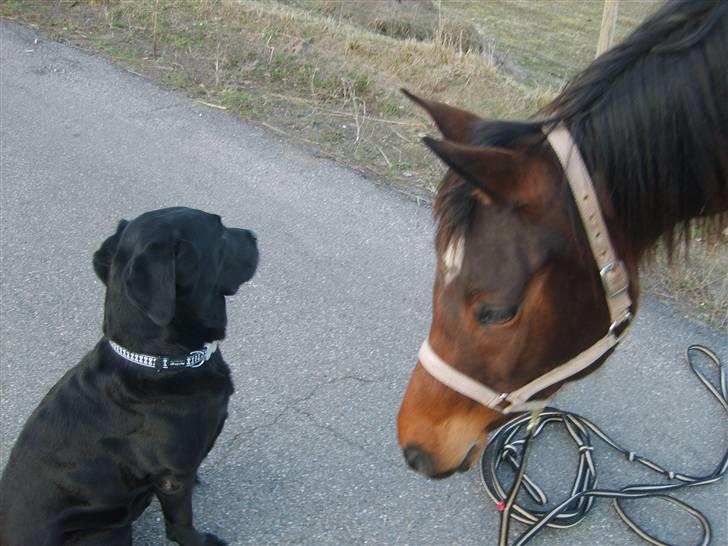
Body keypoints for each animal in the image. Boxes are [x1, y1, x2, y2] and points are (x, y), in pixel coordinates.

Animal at [0, 206, 260, 540]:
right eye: (220, 232)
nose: (254, 236)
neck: (159, 360)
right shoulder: (173, 479)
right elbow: (180, 522)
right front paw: (199, 540)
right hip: (107, 533)